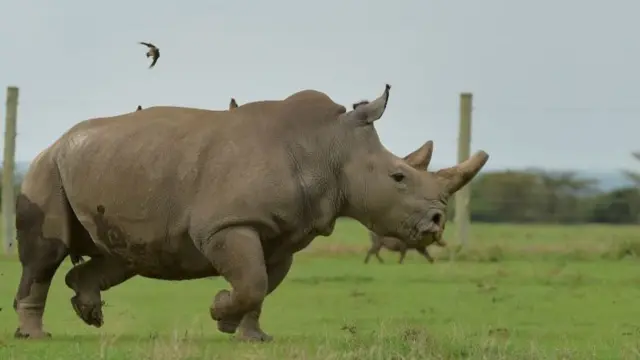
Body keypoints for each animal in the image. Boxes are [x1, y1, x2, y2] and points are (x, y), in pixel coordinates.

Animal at [12, 83, 488, 342]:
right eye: (398, 177)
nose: (436, 225)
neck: (329, 146)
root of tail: (55, 141)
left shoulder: (285, 234)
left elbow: (262, 284)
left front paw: (247, 335)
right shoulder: (228, 224)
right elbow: (252, 280)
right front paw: (219, 310)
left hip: (111, 167)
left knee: (122, 256)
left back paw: (88, 312)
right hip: (47, 168)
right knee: (45, 255)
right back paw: (36, 336)